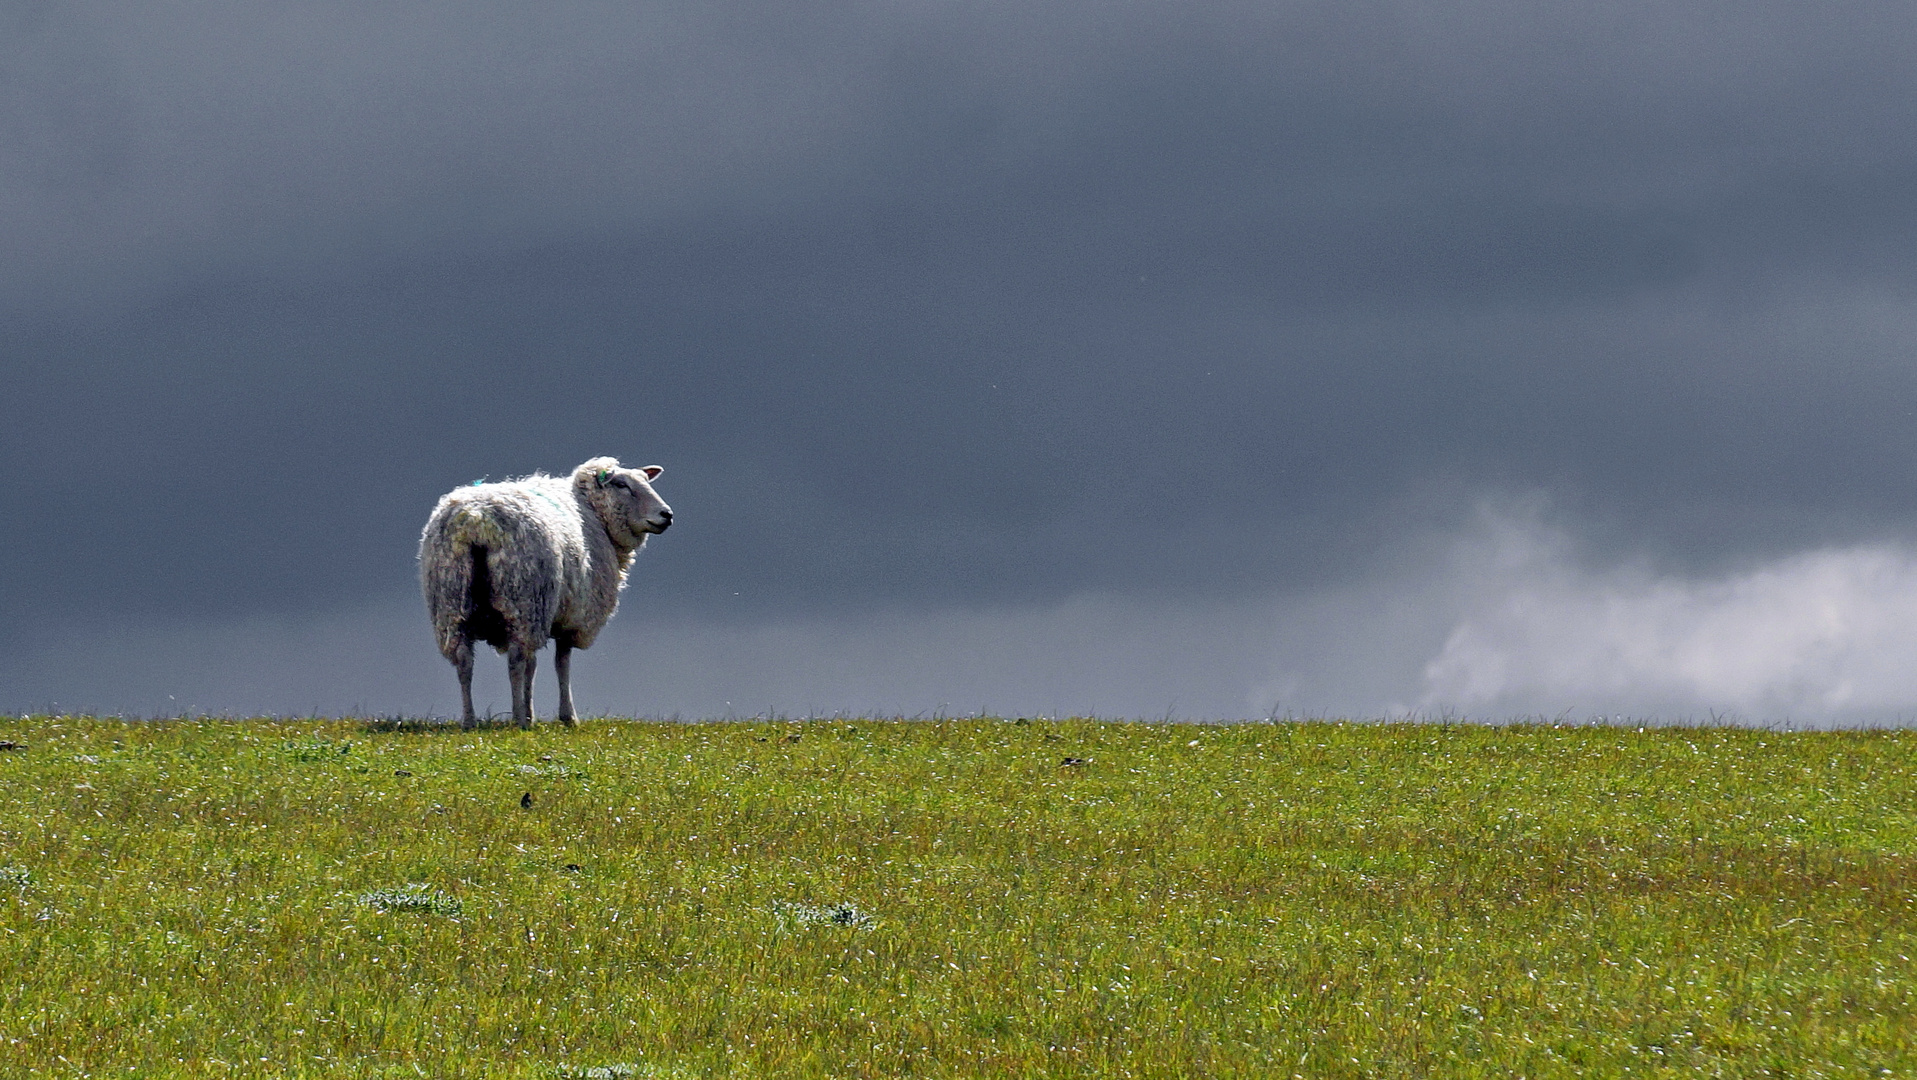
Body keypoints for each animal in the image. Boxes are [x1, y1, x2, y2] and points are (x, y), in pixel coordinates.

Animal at [415, 456, 670, 725]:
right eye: (622, 485)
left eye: (646, 481)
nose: (667, 515)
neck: (592, 511)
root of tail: (478, 520)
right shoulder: (574, 615)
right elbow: (561, 662)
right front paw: (567, 716)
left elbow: (535, 665)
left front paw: (532, 712)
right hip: (524, 599)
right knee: (515, 661)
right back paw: (517, 719)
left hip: (452, 602)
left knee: (465, 661)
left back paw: (470, 721)